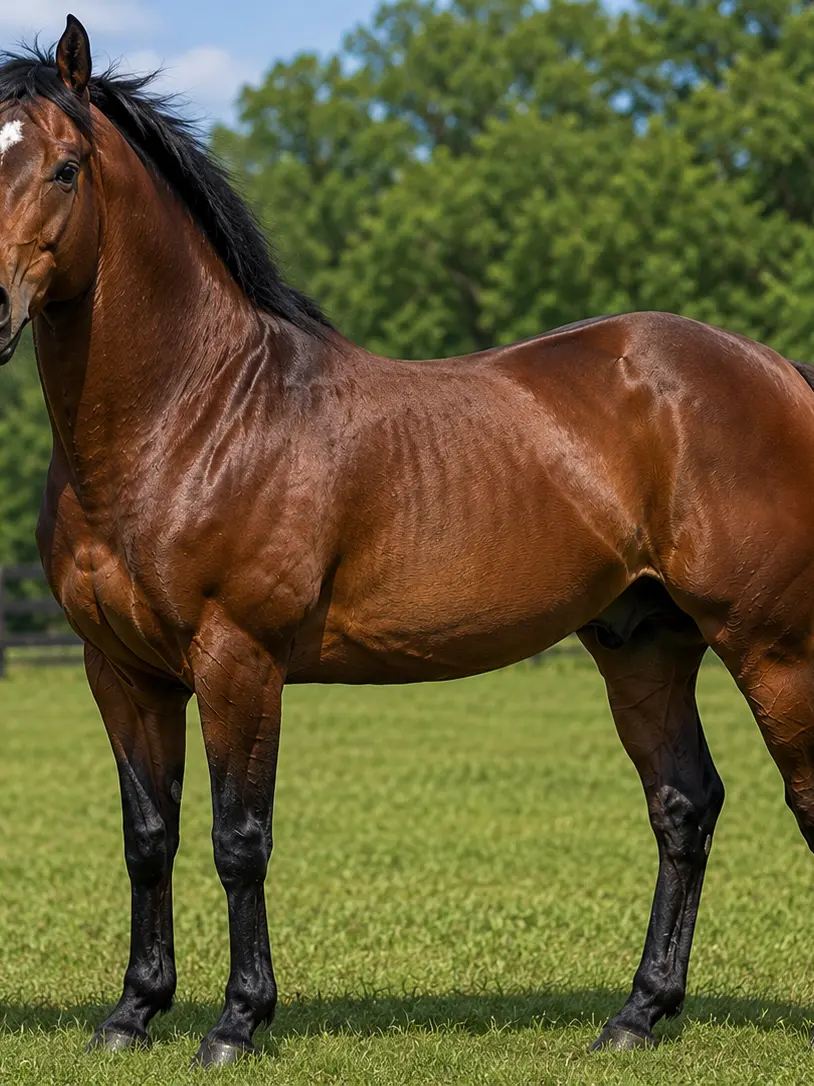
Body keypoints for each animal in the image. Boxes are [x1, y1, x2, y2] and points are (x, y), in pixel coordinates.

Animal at [2, 14, 814, 1070]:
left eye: (63, 168)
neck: (193, 413)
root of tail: (778, 373)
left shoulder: (237, 660)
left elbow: (238, 838)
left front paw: (236, 1023)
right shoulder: (120, 671)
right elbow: (149, 837)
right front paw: (133, 1014)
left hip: (773, 647)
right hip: (645, 646)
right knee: (684, 806)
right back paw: (636, 1016)